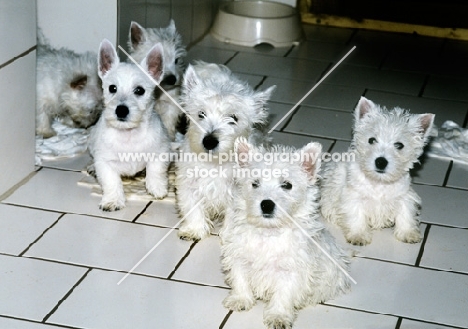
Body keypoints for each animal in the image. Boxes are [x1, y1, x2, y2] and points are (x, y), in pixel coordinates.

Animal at [88, 39, 170, 211]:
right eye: (112, 88)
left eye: (139, 90)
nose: (121, 110)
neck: (128, 134)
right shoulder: (105, 163)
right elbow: (111, 181)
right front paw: (113, 200)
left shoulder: (161, 151)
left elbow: (156, 169)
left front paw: (157, 187)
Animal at [176, 61, 278, 240]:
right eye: (201, 114)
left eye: (233, 118)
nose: (209, 141)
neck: (215, 163)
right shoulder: (189, 183)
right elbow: (192, 207)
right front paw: (194, 230)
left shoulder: (237, 191)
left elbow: (233, 214)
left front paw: (230, 235)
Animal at [221, 138, 350, 328]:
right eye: (255, 183)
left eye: (287, 185)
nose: (266, 204)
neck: (269, 233)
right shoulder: (239, 256)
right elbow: (240, 278)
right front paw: (240, 300)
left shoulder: (291, 270)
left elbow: (283, 294)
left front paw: (278, 316)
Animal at [322, 96, 436, 245]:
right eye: (371, 140)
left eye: (399, 145)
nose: (381, 161)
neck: (379, 182)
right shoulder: (353, 196)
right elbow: (356, 215)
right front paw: (358, 236)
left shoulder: (404, 196)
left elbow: (406, 213)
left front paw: (408, 234)